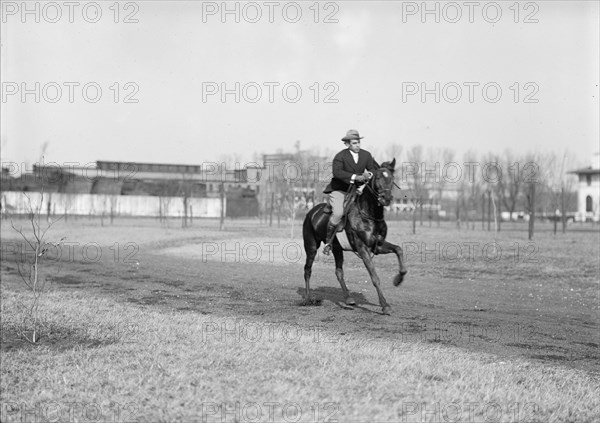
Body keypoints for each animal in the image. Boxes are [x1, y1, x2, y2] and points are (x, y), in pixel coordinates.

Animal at [304, 161, 408, 316]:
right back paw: (308, 299)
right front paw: (385, 305)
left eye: (392, 178)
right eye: (378, 178)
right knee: (307, 270)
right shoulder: (363, 248)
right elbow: (375, 277)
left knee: (339, 272)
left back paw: (348, 299)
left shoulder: (378, 246)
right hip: (311, 247)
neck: (370, 215)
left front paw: (398, 279)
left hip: (337, 249)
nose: (386, 198)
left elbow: (398, 249)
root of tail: (311, 212)